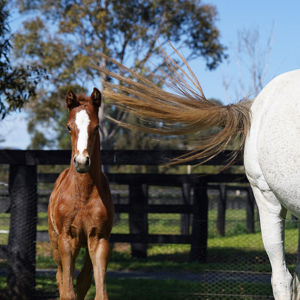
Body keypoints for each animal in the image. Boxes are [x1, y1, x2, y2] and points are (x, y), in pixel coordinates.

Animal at [48, 88, 113, 298]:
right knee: (60, 277)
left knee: (83, 279)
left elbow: (98, 292)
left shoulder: (99, 239)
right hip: (55, 241)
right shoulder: (66, 239)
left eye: (97, 127)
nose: (82, 161)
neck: (83, 195)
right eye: (68, 127)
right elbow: (67, 291)